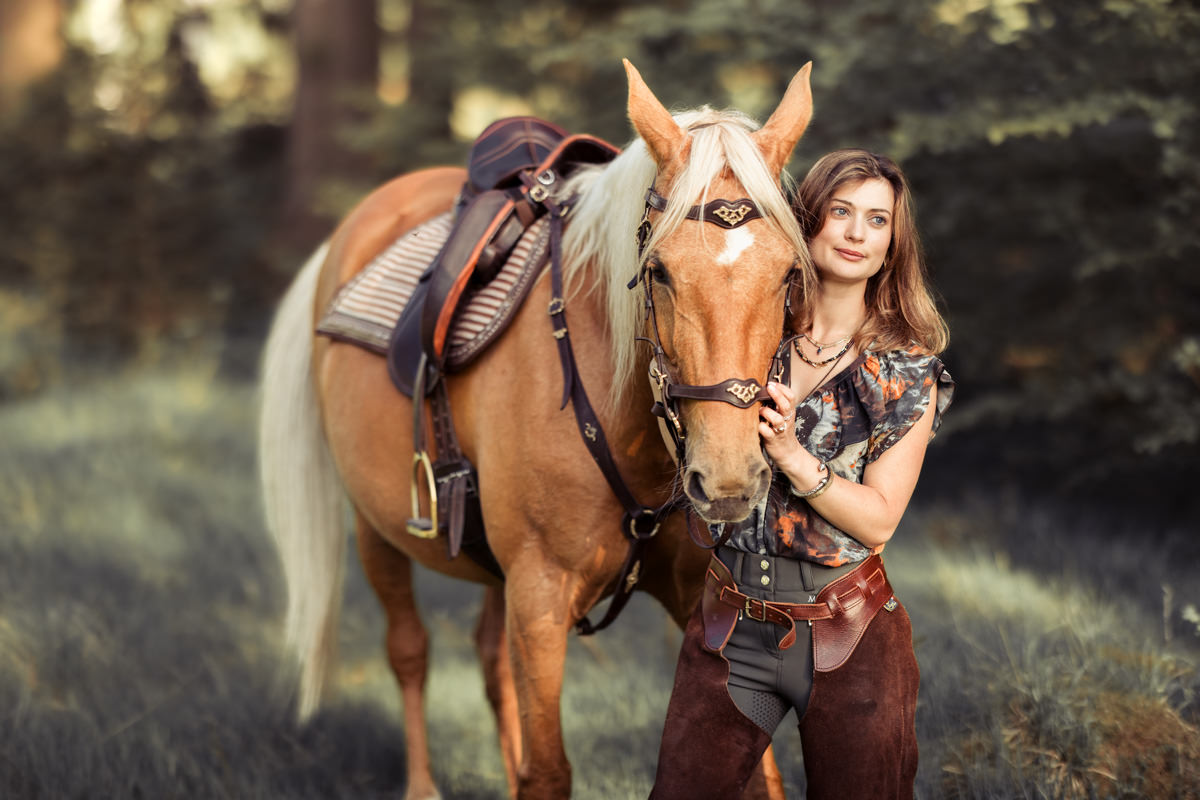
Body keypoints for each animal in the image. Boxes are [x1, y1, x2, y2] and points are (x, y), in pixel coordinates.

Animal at [258, 62, 811, 800]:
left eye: (789, 274)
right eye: (659, 272)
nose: (727, 480)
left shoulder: (697, 595)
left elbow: (759, 775)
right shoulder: (541, 594)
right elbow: (547, 771)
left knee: (491, 663)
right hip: (379, 529)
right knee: (409, 652)